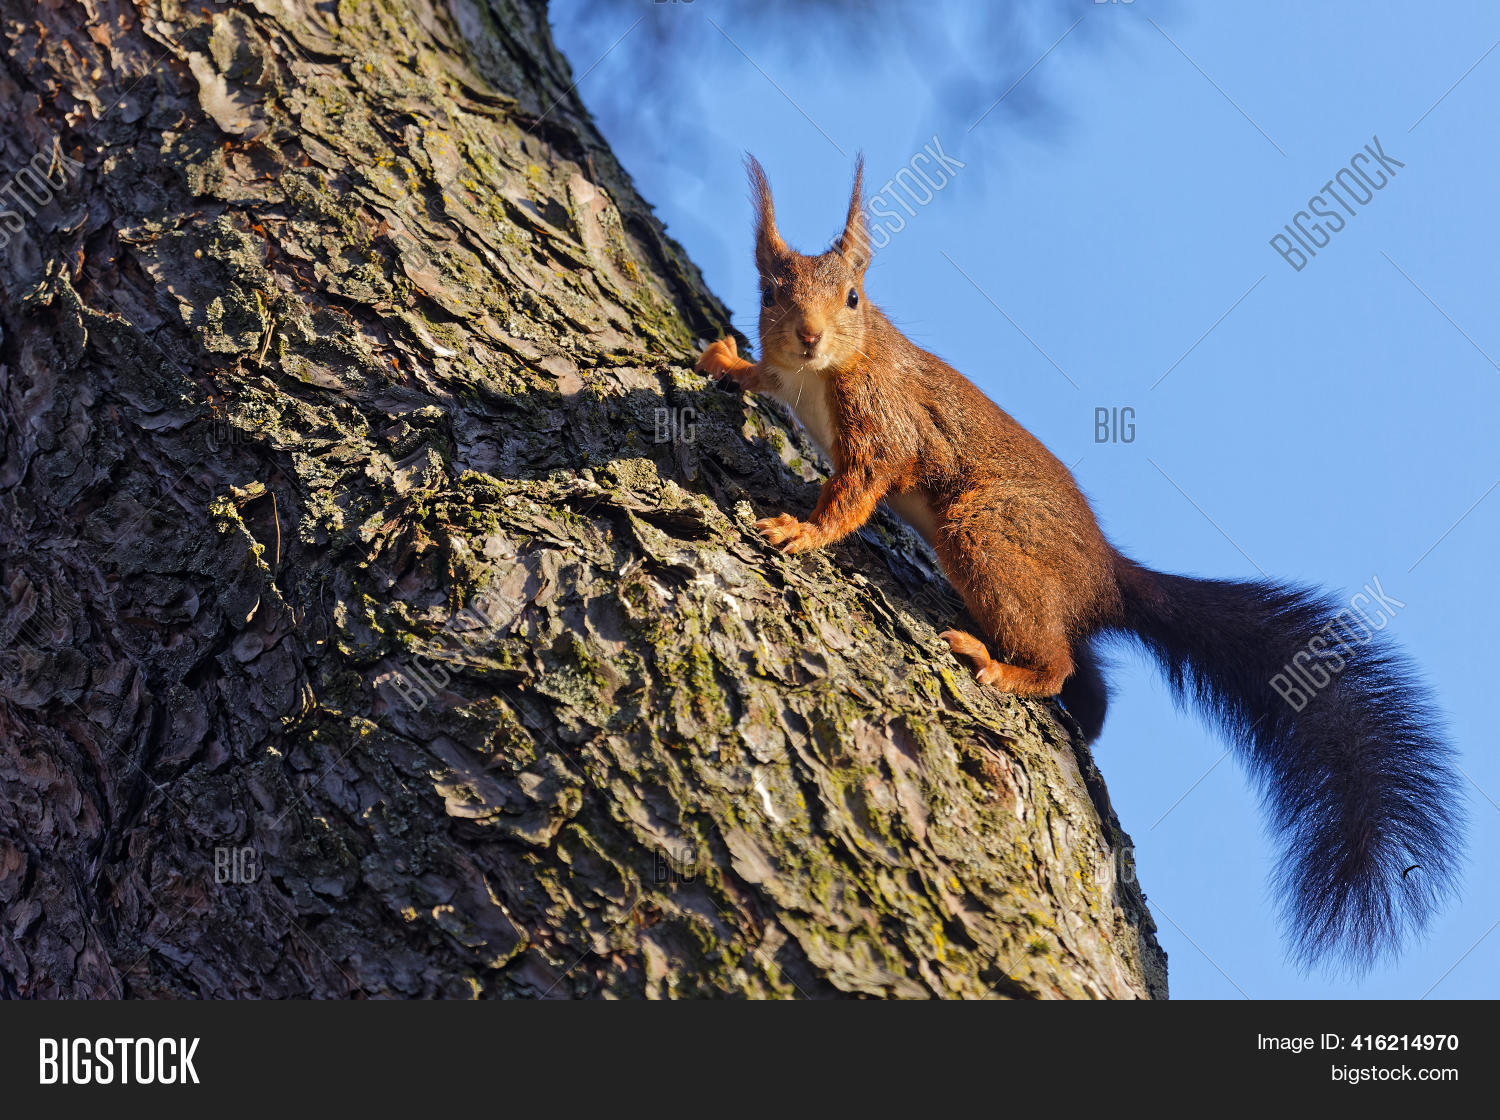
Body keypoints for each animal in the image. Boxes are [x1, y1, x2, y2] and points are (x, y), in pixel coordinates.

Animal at [696, 154, 1464, 971]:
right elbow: (765, 381)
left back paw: (1003, 668)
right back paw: (1076, 711)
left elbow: (860, 486)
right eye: (769, 293)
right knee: (1090, 673)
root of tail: (1106, 575)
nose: (807, 337)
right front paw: (727, 359)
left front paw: (803, 530)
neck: (832, 367)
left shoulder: (888, 421)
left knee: (1059, 658)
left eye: (852, 296)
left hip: (985, 532)